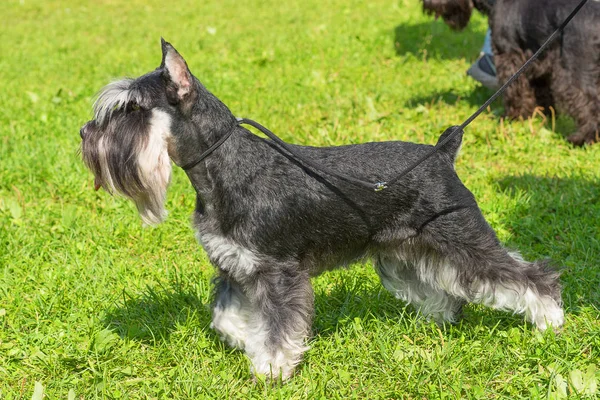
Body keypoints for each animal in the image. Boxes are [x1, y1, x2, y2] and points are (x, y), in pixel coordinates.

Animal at [82, 41, 564, 382]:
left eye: (132, 108)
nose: (86, 135)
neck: (223, 167)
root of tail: (443, 152)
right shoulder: (235, 267)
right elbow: (225, 317)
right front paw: (246, 341)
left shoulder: (278, 273)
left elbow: (278, 327)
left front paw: (270, 368)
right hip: (404, 256)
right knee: (447, 290)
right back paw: (438, 323)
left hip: (462, 238)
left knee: (527, 276)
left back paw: (551, 322)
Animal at [422, 0, 600, 146]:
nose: (426, 3)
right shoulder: (539, 59)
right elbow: (541, 91)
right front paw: (543, 114)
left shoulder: (509, 57)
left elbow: (515, 91)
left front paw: (513, 117)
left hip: (575, 72)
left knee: (588, 103)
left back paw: (583, 139)